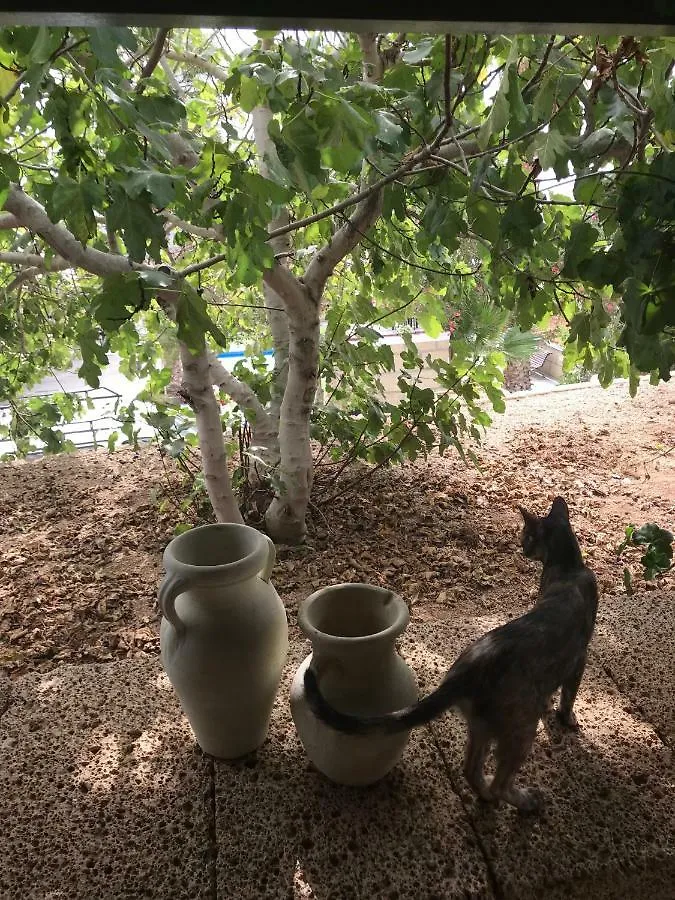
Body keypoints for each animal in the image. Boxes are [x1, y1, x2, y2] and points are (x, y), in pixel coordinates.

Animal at [304, 496, 600, 812]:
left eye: (525, 537)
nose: (522, 548)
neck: (568, 568)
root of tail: (466, 672)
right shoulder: (580, 657)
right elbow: (569, 696)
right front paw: (567, 718)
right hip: (519, 729)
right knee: (500, 781)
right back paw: (526, 801)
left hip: (483, 725)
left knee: (470, 769)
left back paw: (486, 796)